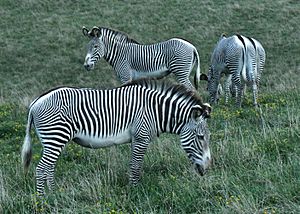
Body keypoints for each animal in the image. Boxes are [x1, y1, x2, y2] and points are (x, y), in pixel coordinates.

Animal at [21, 79, 212, 196]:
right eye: (201, 137)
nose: (207, 169)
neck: (155, 110)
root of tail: (36, 102)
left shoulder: (136, 139)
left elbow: (134, 165)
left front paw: (134, 188)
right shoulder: (141, 137)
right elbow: (135, 166)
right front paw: (135, 191)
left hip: (53, 140)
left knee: (49, 168)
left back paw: (54, 193)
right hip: (56, 137)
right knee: (41, 168)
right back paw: (44, 199)